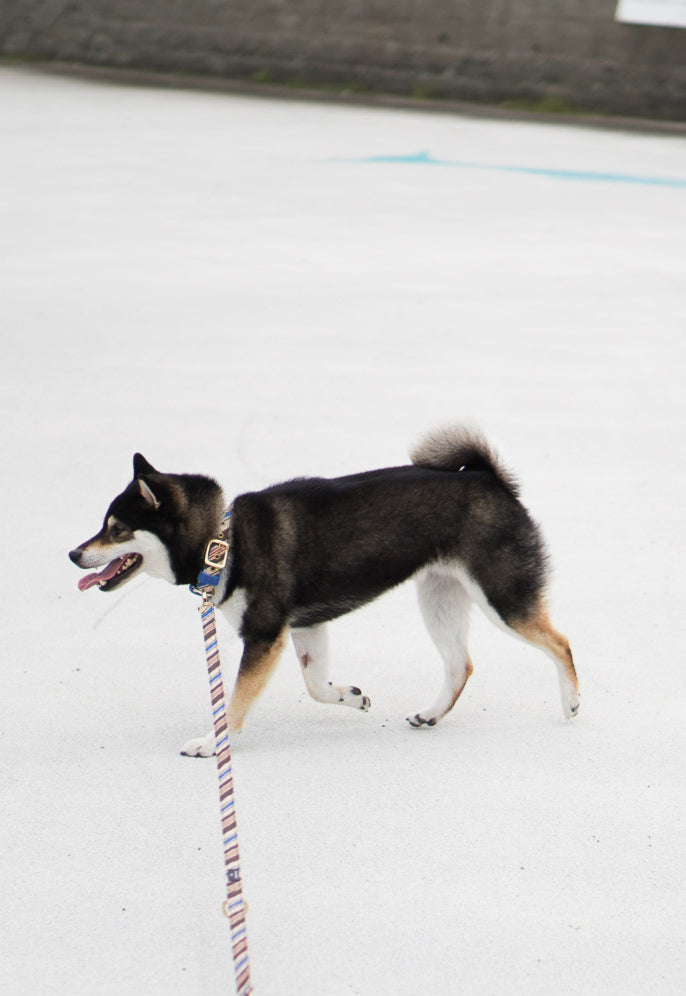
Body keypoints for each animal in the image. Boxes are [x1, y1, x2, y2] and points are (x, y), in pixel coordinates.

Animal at [70, 424, 580, 760]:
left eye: (116, 530)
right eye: (104, 525)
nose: (74, 554)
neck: (224, 540)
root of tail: (487, 478)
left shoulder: (264, 635)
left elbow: (233, 703)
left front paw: (213, 743)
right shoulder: (303, 628)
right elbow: (316, 687)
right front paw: (351, 696)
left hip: (502, 598)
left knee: (560, 643)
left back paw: (571, 703)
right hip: (439, 598)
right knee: (462, 665)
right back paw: (430, 714)